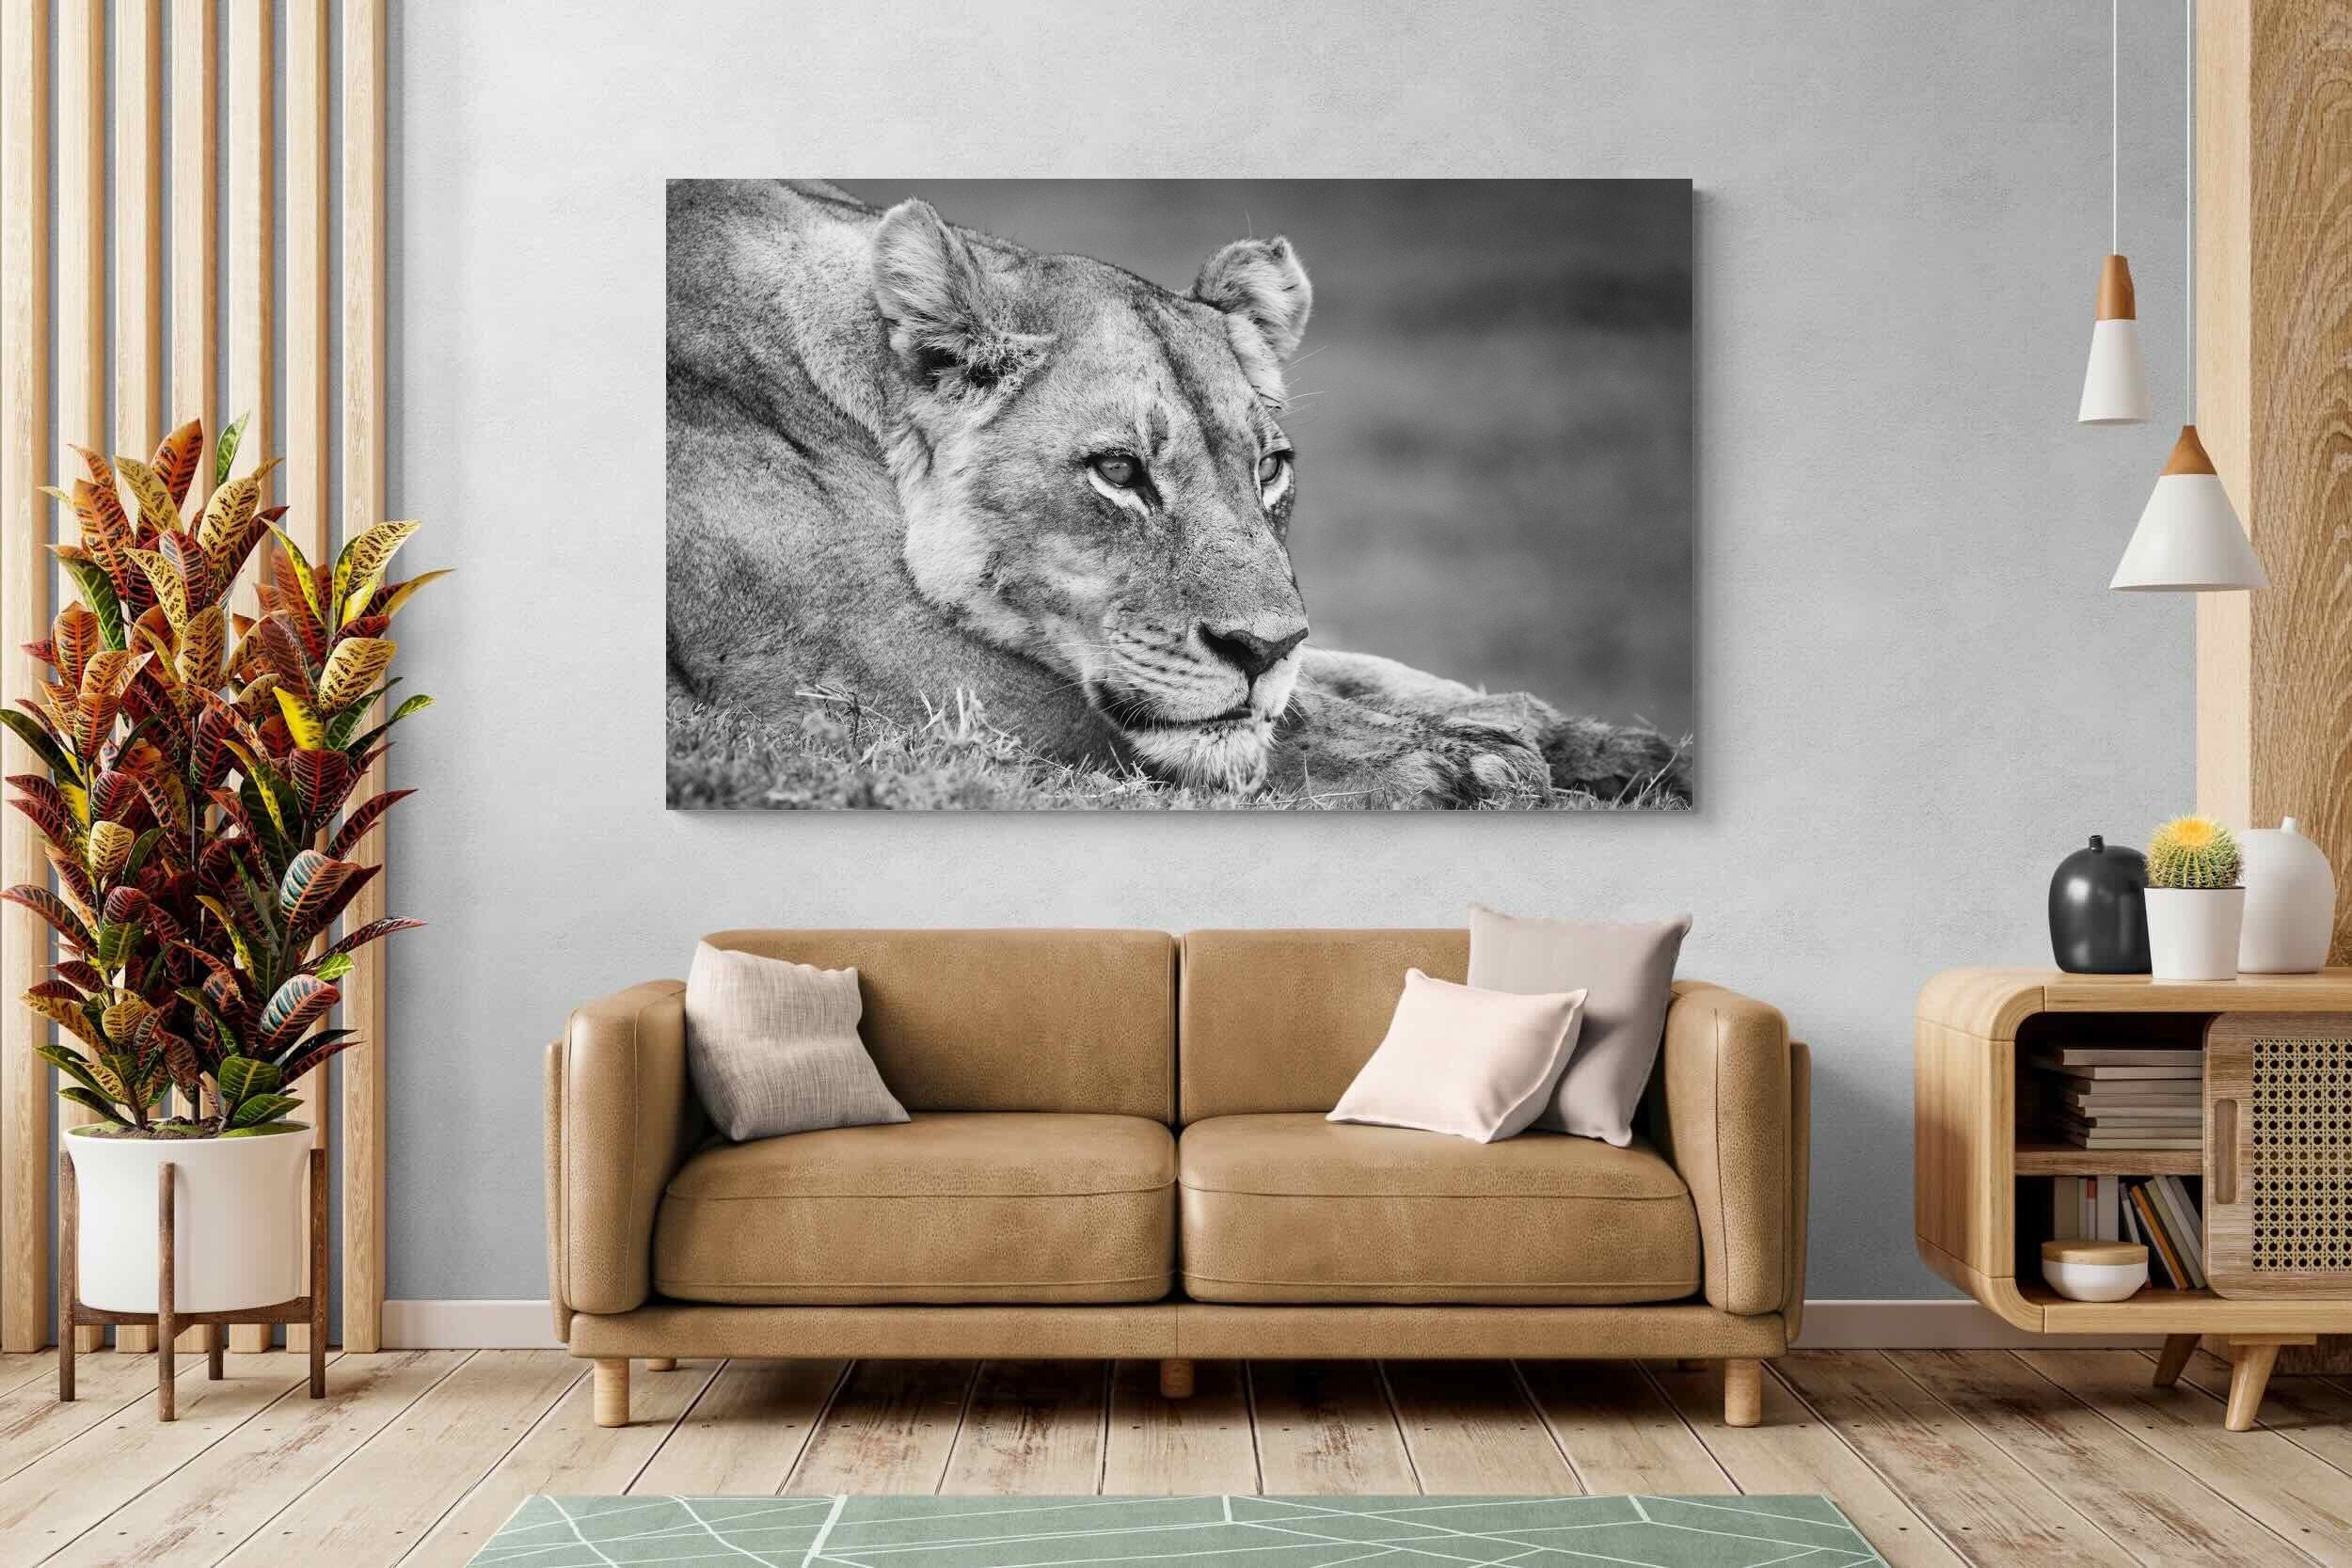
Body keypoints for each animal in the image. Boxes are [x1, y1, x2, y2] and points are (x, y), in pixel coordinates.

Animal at [666, 180, 1688, 808]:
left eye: (1268, 468)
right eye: (1119, 472)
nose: (1260, 649)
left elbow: (1353, 674)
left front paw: (1608, 747)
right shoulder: (870, 677)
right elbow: (1275, 723)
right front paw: (1468, 766)